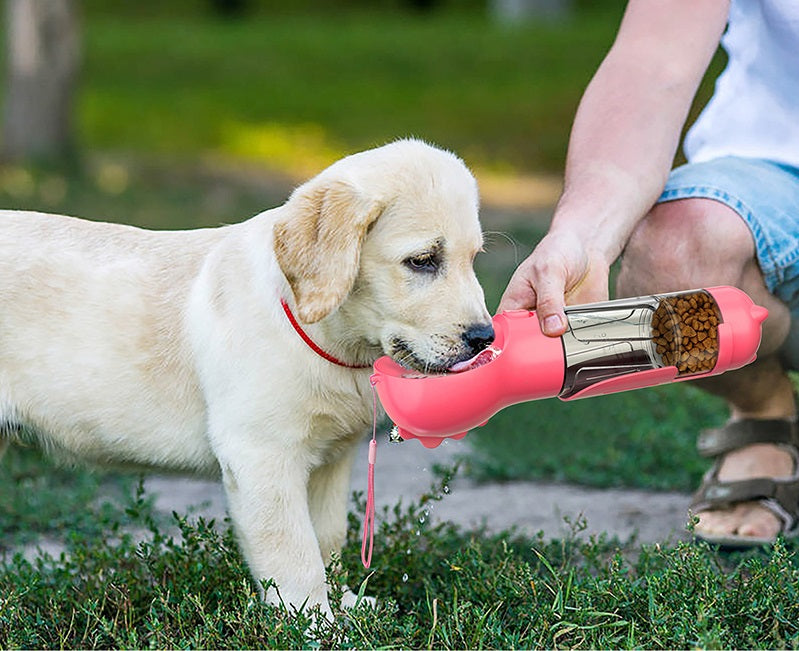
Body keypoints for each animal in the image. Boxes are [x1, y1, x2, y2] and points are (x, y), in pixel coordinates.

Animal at [0, 140, 494, 620]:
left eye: (473, 259)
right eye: (423, 261)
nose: (485, 338)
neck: (326, 337)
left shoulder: (332, 460)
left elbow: (327, 539)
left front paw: (346, 605)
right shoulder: (262, 455)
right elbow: (295, 554)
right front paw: (315, 623)